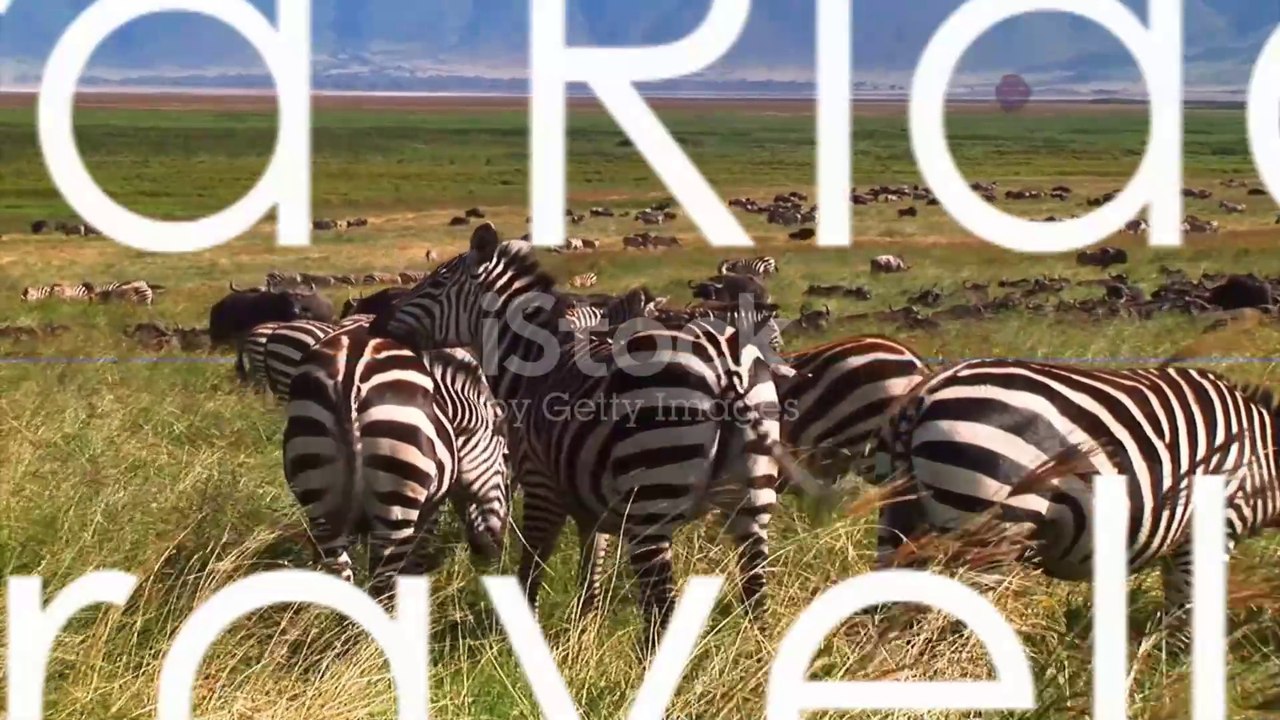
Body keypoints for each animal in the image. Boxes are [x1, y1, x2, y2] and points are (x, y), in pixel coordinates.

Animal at [367, 223, 809, 643]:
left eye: (436, 282)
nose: (375, 322)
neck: (535, 365)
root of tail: (725, 366)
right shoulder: (592, 504)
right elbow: (591, 572)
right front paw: (585, 631)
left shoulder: (541, 483)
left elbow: (532, 565)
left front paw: (518, 637)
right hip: (753, 500)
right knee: (755, 596)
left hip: (652, 497)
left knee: (662, 610)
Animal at [871, 358, 1280, 622]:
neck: (1263, 455)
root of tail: (926, 393)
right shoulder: (1215, 522)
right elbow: (1188, 608)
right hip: (988, 529)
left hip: (900, 516)